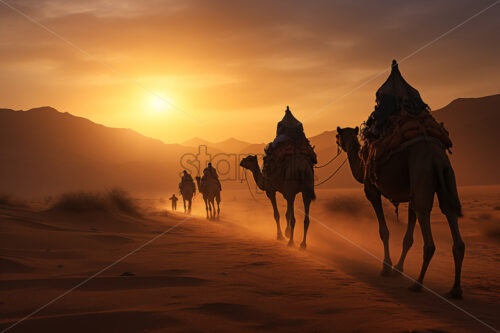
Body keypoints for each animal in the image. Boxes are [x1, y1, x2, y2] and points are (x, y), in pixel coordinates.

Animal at [336, 126, 464, 296]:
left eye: (338, 135)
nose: (337, 142)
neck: (362, 164)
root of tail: (436, 158)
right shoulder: (411, 197)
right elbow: (407, 238)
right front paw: (398, 268)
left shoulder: (371, 190)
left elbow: (384, 231)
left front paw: (386, 267)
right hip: (447, 175)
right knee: (450, 212)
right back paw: (455, 290)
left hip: (422, 173)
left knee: (427, 227)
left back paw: (417, 284)